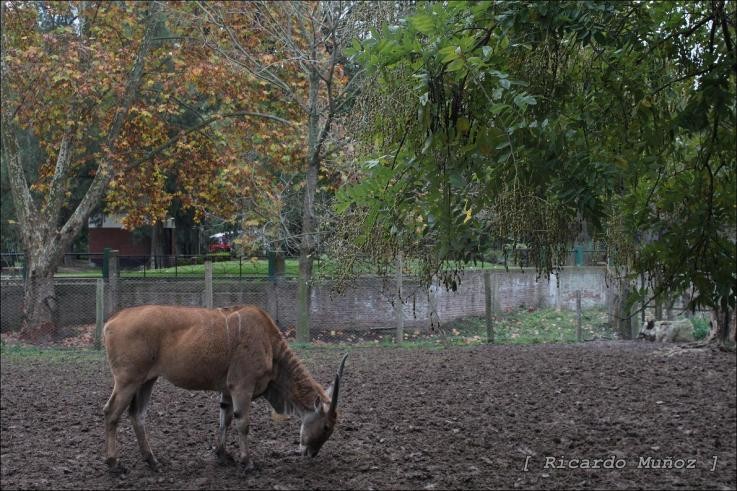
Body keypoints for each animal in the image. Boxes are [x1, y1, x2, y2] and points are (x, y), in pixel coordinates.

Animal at [101, 306, 350, 474]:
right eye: (326, 426)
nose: (311, 453)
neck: (269, 344)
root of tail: (112, 320)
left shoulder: (228, 390)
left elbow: (225, 419)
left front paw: (223, 455)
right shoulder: (242, 386)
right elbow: (242, 423)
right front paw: (247, 462)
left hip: (147, 380)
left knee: (137, 415)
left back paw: (152, 461)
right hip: (128, 380)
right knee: (111, 412)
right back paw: (114, 463)